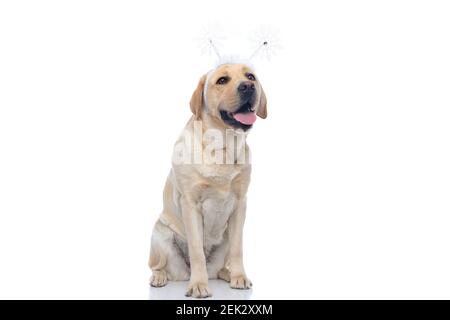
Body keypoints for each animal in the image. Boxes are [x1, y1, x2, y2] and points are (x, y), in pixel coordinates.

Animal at [148, 62, 268, 298]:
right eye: (222, 80)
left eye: (250, 76)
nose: (248, 86)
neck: (222, 147)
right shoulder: (190, 204)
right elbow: (196, 251)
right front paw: (198, 284)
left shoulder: (240, 204)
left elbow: (238, 249)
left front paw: (239, 277)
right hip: (160, 235)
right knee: (159, 265)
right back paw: (160, 277)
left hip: (225, 241)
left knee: (222, 263)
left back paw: (226, 273)